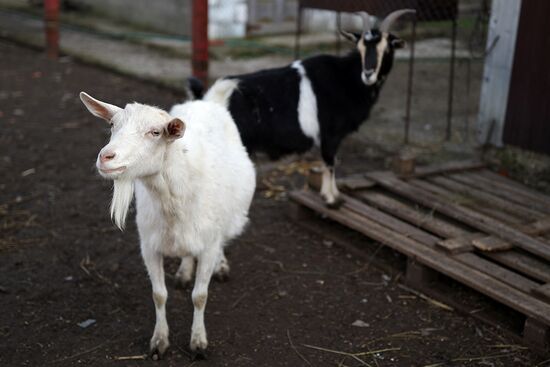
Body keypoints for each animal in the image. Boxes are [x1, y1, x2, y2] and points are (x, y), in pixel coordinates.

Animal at [81, 92, 258, 360]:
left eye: (155, 132)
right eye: (112, 124)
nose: (106, 157)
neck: (173, 201)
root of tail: (207, 100)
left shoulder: (208, 245)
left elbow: (200, 296)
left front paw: (198, 342)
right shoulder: (149, 246)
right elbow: (159, 294)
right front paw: (159, 341)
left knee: (223, 238)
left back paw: (220, 266)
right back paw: (184, 272)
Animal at [194, 9, 414, 207]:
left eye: (387, 48)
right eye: (359, 47)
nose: (368, 73)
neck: (345, 78)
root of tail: (211, 100)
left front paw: (334, 196)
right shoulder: (330, 134)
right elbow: (330, 162)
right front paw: (332, 199)